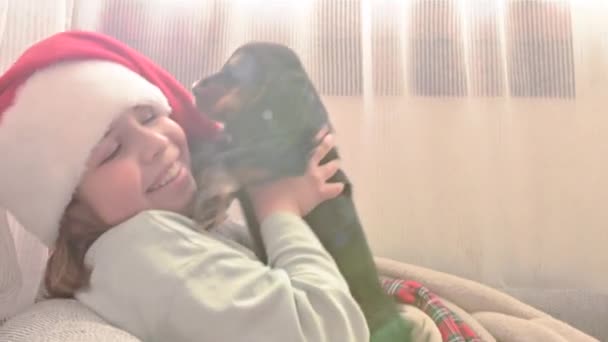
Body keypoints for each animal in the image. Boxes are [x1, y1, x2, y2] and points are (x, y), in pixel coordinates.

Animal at [192, 41, 410, 340]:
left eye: (236, 69)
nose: (192, 87)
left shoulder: (289, 152)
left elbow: (234, 157)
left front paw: (209, 199)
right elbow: (224, 150)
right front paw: (213, 200)